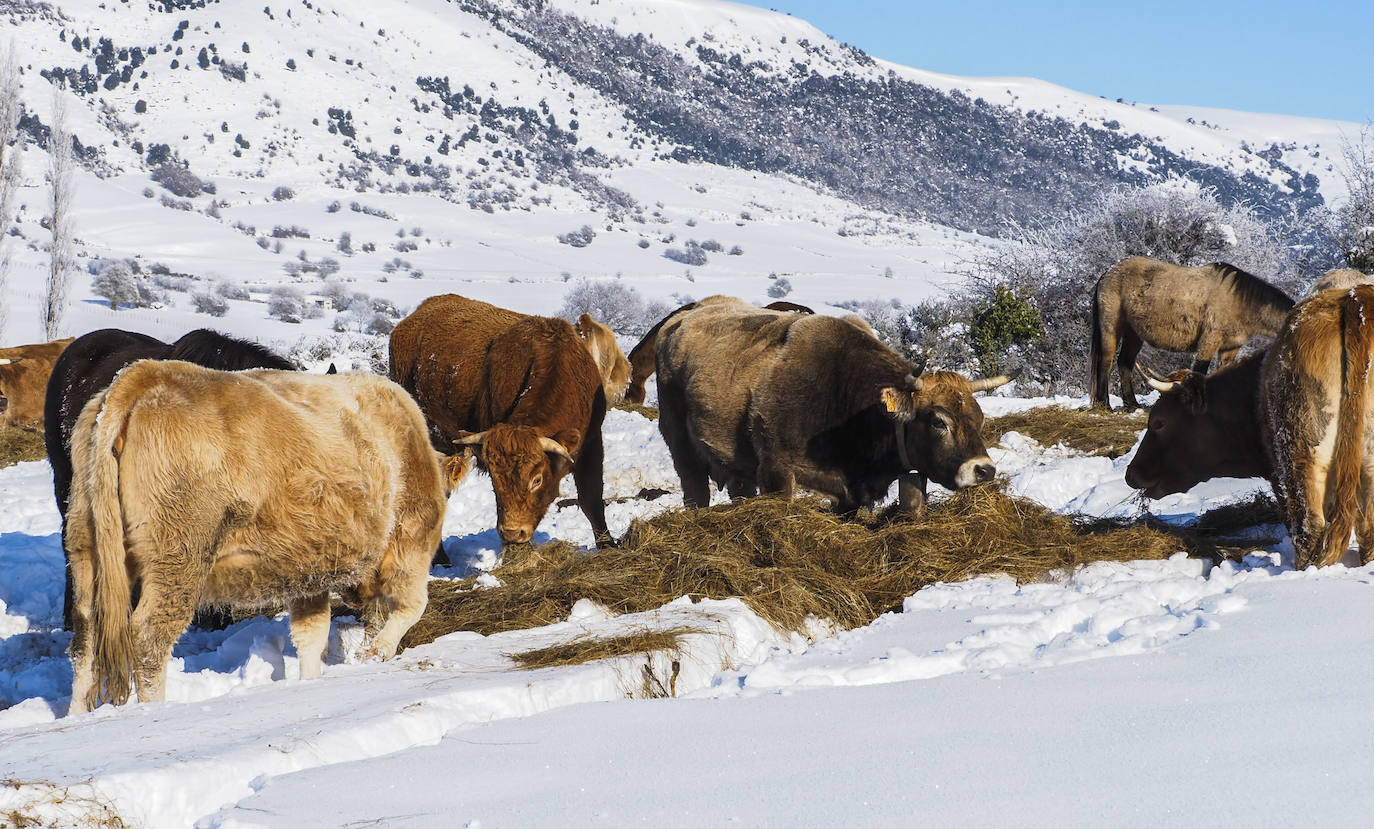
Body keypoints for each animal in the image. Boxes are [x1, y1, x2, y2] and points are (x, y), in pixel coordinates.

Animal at [66, 362, 447, 714]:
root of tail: (143, 375)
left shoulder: (309, 569)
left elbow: (311, 635)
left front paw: (311, 682)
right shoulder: (413, 537)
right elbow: (413, 605)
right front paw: (375, 652)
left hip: (88, 547)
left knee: (86, 637)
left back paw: (76, 715)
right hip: (178, 555)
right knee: (149, 636)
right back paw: (155, 709)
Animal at [1088, 252, 1291, 409]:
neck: (1240, 302)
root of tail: (1108, 273)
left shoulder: (1230, 348)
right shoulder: (1209, 341)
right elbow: (1200, 371)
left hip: (1134, 333)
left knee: (1125, 363)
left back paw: (1132, 404)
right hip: (1111, 326)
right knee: (1106, 362)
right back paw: (1104, 403)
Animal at [1121, 285, 1374, 571]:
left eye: (1159, 422)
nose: (1130, 474)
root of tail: (1354, 297)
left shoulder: (1279, 476)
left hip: (1301, 454)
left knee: (1309, 526)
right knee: (1367, 529)